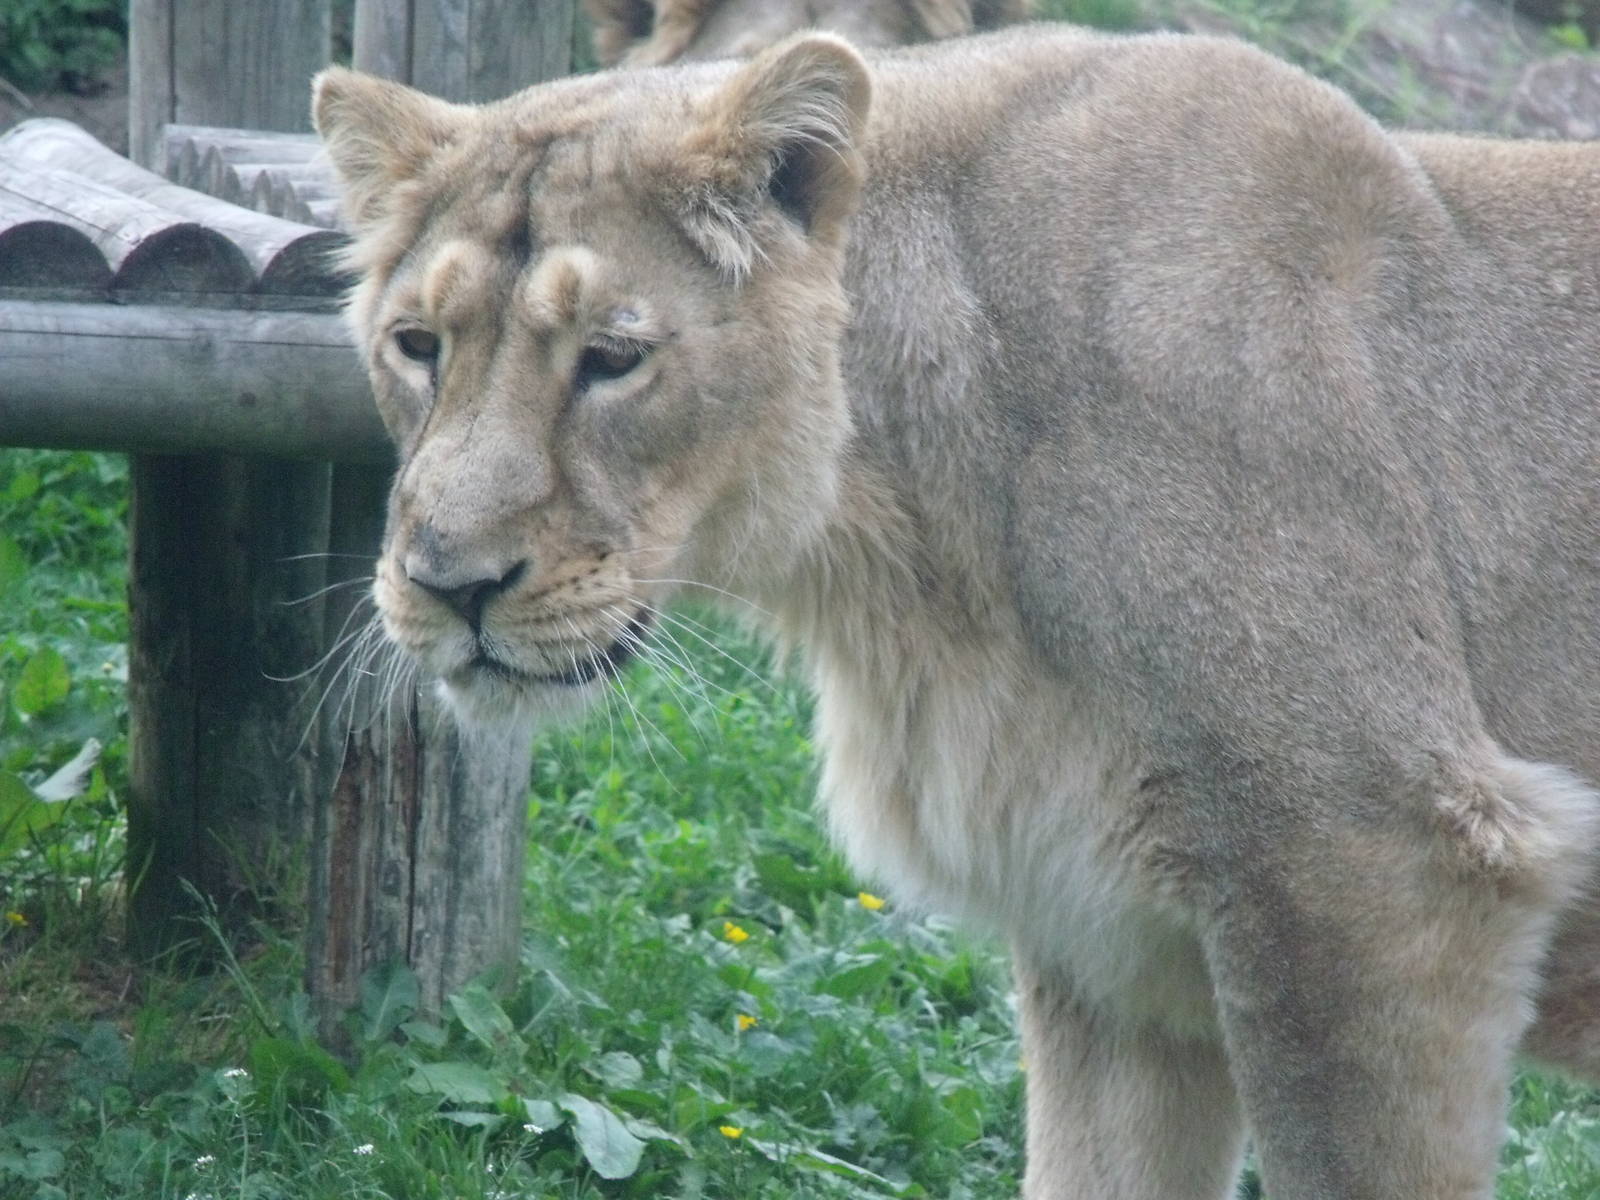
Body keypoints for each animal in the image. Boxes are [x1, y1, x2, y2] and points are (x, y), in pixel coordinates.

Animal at [314, 22, 1600, 1199]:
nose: (450, 583)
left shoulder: (1373, 867)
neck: (906, 554)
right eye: (415, 346)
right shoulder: (1110, 943)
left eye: (613, 357)